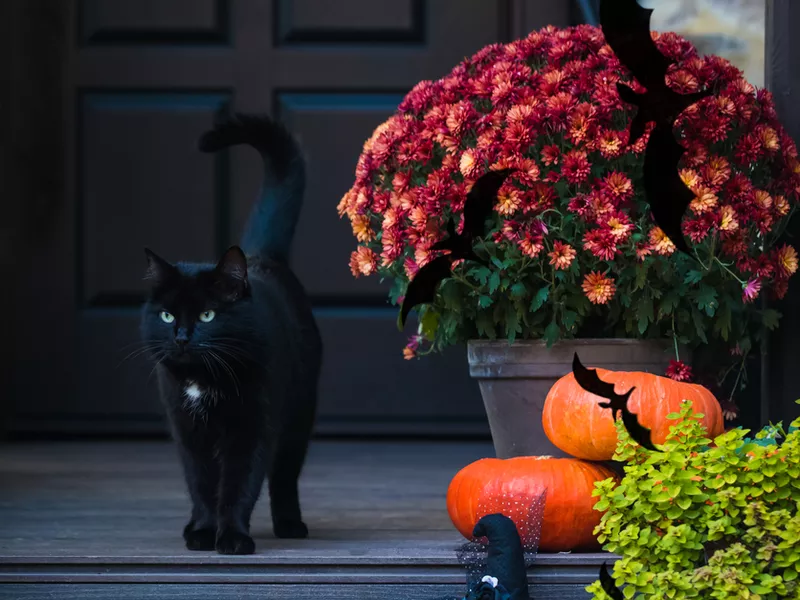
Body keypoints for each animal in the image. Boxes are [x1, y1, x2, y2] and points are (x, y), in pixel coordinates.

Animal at [140, 115, 322, 556]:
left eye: (208, 315)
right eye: (167, 315)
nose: (182, 336)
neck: (204, 381)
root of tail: (262, 256)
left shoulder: (253, 427)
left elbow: (240, 485)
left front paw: (234, 537)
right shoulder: (187, 431)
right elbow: (202, 485)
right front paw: (203, 533)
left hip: (299, 411)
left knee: (285, 475)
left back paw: (290, 523)